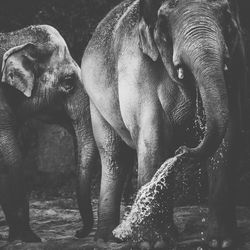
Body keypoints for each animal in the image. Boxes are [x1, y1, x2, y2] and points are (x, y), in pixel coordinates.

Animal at [0, 24, 96, 242]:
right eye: (68, 81)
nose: (78, 233)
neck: (17, 37)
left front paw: (18, 238)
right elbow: (13, 158)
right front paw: (30, 238)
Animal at [79, 0, 246, 249]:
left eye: (227, 17)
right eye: (165, 26)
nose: (184, 149)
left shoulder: (237, 59)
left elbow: (228, 137)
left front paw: (223, 242)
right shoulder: (137, 67)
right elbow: (152, 135)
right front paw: (152, 243)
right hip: (96, 105)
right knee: (113, 155)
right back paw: (107, 239)